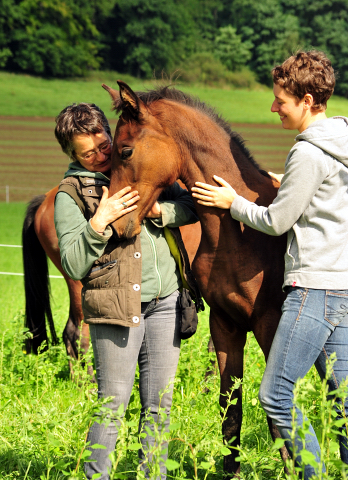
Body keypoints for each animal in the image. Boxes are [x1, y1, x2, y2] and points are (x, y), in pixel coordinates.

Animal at [104, 80, 290, 474]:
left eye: (125, 151)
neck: (241, 231)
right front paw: (230, 470)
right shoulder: (225, 324)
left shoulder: (270, 325)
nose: (113, 225)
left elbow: (277, 413)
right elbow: (229, 407)